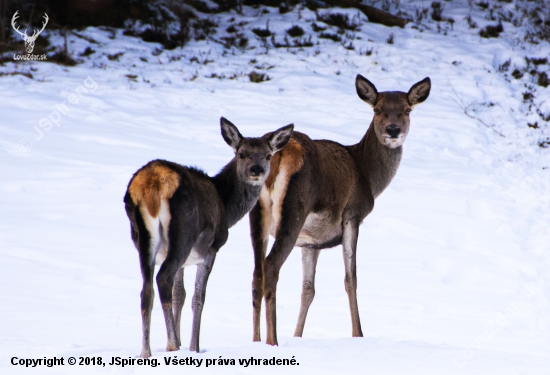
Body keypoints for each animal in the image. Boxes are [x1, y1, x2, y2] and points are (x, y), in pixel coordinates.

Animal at [125, 118, 296, 358]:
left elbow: (180, 295)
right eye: (241, 154)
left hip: (144, 240)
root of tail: (153, 184)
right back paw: (171, 345)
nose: (257, 170)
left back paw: (146, 351)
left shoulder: (184, 261)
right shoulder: (211, 250)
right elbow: (198, 298)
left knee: (146, 290)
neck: (226, 205)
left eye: (268, 155)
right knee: (162, 279)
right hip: (184, 235)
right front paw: (193, 347)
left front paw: (179, 342)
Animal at [248, 75, 434, 346]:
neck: (367, 175)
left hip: (256, 215)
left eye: (407, 110)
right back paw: (272, 341)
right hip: (294, 211)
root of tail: (277, 156)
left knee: (256, 273)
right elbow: (351, 278)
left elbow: (308, 288)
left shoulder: (311, 241)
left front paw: (297, 335)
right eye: (377, 110)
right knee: (270, 266)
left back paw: (255, 340)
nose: (393, 130)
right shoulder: (353, 214)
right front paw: (358, 334)